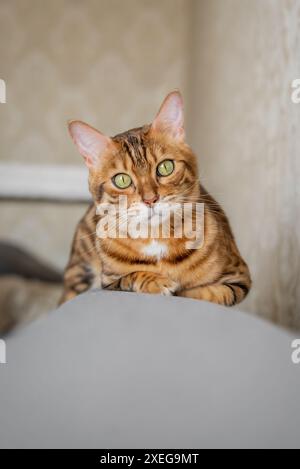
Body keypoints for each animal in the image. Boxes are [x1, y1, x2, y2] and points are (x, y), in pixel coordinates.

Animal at [59, 91, 252, 306]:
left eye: (165, 167)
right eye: (122, 180)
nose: (150, 199)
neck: (156, 238)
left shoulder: (239, 278)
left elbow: (209, 293)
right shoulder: (108, 283)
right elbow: (129, 277)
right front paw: (156, 281)